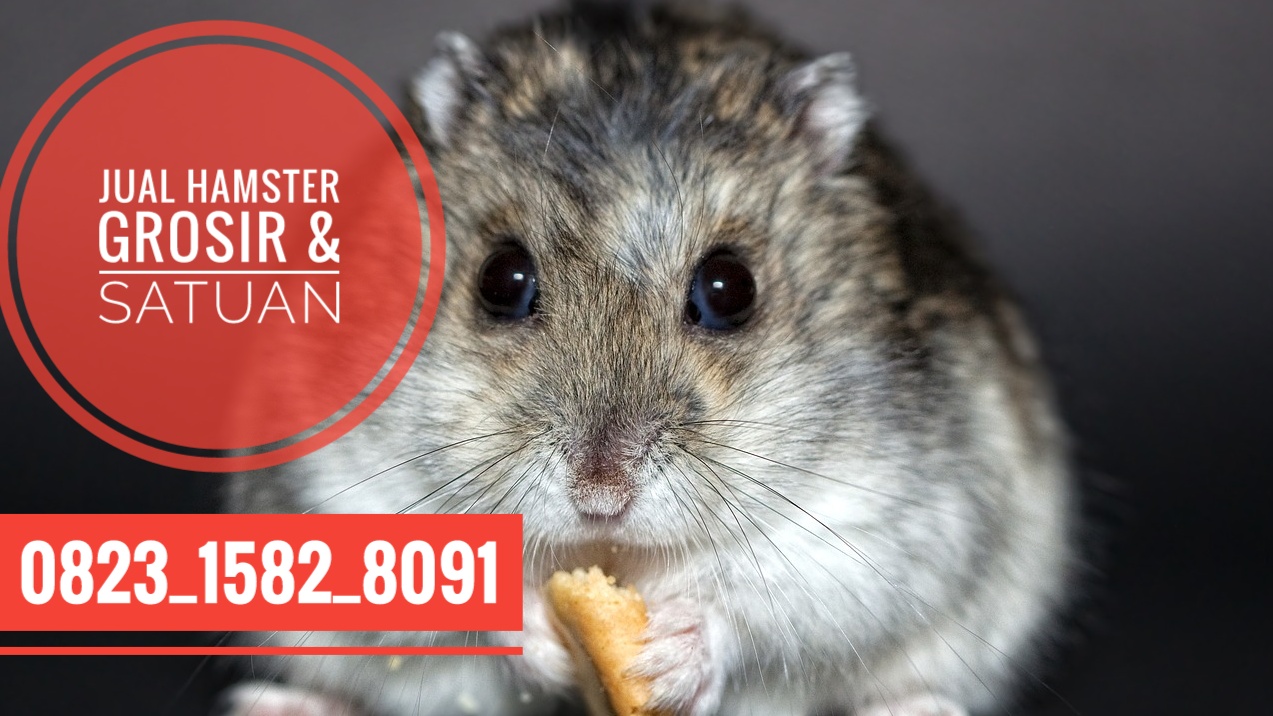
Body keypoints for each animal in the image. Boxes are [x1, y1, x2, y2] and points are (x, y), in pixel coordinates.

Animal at [221, 3, 1075, 715]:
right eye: (500, 279)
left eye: (729, 288)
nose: (600, 497)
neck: (613, 553)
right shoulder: (339, 487)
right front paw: (538, 633)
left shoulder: (887, 518)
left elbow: (767, 595)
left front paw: (666, 655)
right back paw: (276, 706)